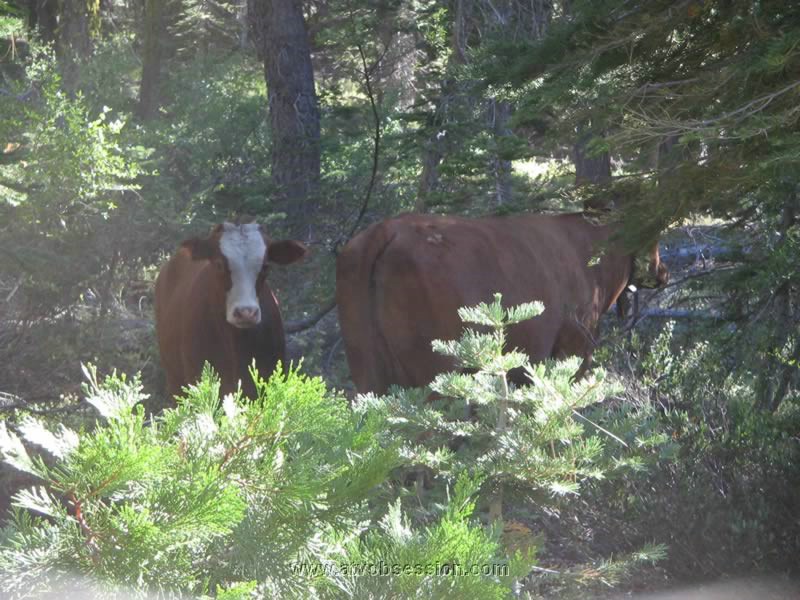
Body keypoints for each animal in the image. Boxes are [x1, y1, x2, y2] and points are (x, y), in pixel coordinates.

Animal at [335, 212, 668, 394]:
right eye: (656, 236)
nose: (663, 272)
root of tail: (385, 231)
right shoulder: (575, 345)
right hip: (437, 369)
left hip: (366, 370)